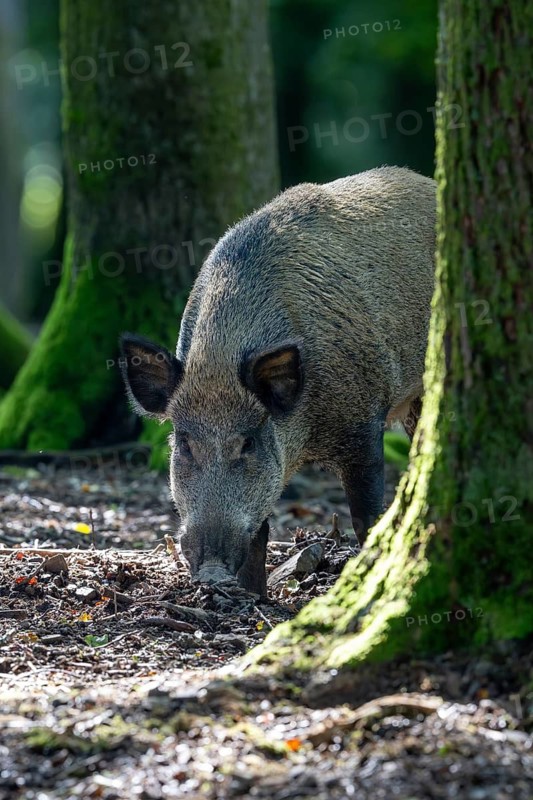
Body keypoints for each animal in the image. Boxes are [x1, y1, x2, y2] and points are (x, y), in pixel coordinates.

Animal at [120, 166, 436, 598]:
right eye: (184, 443)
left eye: (248, 442)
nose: (212, 571)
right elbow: (260, 532)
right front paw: (255, 597)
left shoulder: (363, 418)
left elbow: (366, 515)